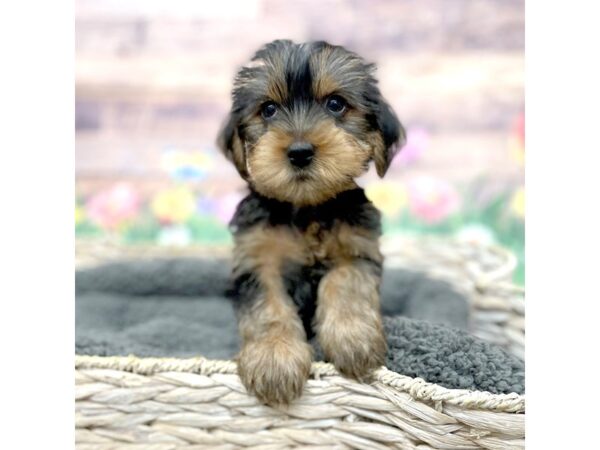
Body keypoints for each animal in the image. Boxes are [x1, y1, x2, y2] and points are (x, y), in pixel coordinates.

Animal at [218, 39, 406, 404]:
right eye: (268, 110)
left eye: (335, 104)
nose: (300, 151)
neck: (307, 207)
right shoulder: (257, 257)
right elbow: (269, 307)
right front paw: (274, 357)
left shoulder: (356, 245)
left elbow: (345, 281)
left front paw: (353, 339)